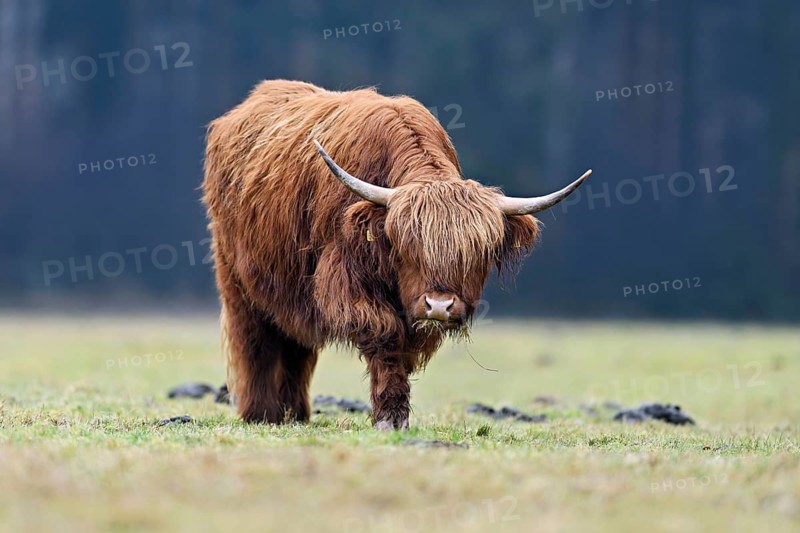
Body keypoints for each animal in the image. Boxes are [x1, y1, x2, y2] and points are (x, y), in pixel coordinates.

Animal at [202, 79, 590, 429]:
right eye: (407, 248)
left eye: (476, 253)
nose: (439, 306)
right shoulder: (344, 280)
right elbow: (385, 335)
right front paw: (389, 417)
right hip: (237, 278)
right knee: (255, 341)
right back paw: (261, 414)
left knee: (296, 345)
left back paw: (294, 414)